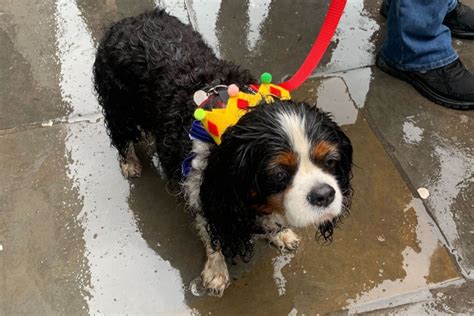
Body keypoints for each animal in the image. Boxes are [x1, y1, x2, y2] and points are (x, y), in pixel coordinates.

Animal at [93, 8, 352, 298]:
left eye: (330, 160)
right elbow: (212, 234)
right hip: (118, 104)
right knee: (121, 135)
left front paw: (280, 233)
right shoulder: (206, 191)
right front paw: (216, 272)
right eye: (278, 174)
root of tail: (130, 19)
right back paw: (129, 163)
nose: (325, 194)